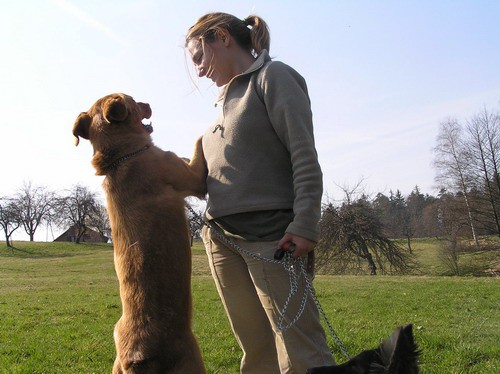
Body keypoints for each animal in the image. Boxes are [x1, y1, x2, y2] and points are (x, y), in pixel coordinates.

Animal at [72, 92, 207, 372]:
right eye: (134, 100)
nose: (148, 103)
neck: (122, 156)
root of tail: (135, 357)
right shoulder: (194, 177)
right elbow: (197, 142)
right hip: (193, 358)